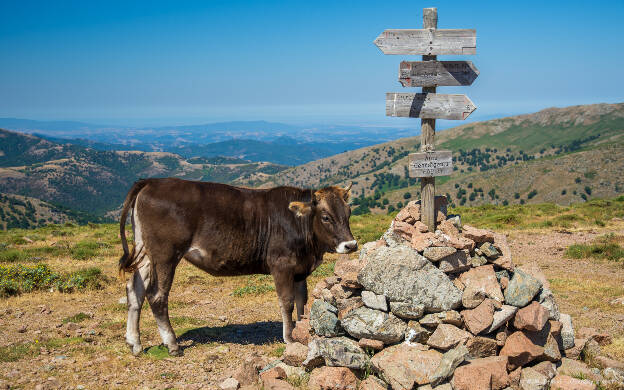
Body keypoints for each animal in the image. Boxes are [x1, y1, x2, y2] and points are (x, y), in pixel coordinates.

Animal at [117, 178, 356, 354]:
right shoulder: (282, 265)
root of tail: (152, 181)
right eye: (325, 217)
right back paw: (172, 344)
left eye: (349, 213)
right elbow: (287, 302)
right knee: (157, 295)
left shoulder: (300, 270)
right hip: (165, 254)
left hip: (145, 252)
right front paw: (289, 337)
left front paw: (301, 329)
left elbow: (301, 302)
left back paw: (134, 343)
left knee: (134, 289)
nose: (350, 244)